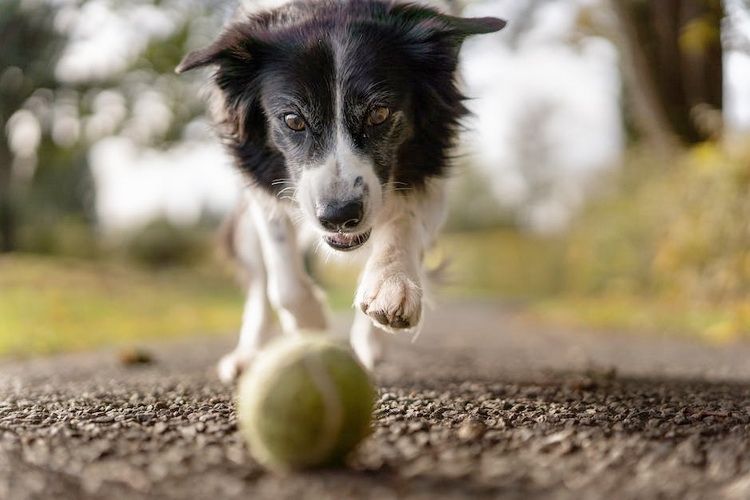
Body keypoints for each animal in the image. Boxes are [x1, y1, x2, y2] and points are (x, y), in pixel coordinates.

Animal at [176, 0, 506, 382]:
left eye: (379, 113)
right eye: (293, 120)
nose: (339, 217)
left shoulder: (431, 170)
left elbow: (403, 221)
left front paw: (391, 286)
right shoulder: (263, 187)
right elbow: (283, 281)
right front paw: (313, 326)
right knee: (259, 285)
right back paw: (247, 356)